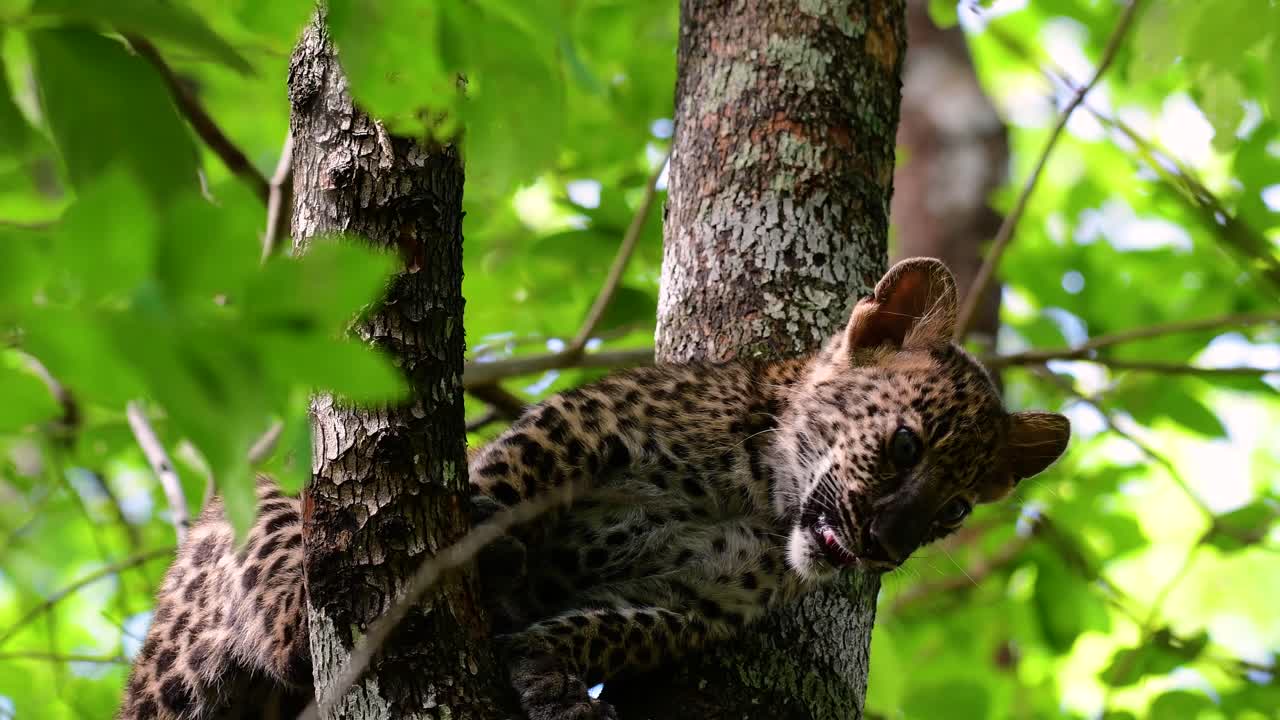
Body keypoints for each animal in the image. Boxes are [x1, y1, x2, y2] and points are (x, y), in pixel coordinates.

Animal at [119, 257, 1070, 720]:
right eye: (906, 446)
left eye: (954, 511)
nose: (886, 546)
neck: (757, 498)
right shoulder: (582, 428)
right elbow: (504, 482)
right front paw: (489, 551)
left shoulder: (694, 604)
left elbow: (613, 630)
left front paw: (549, 674)